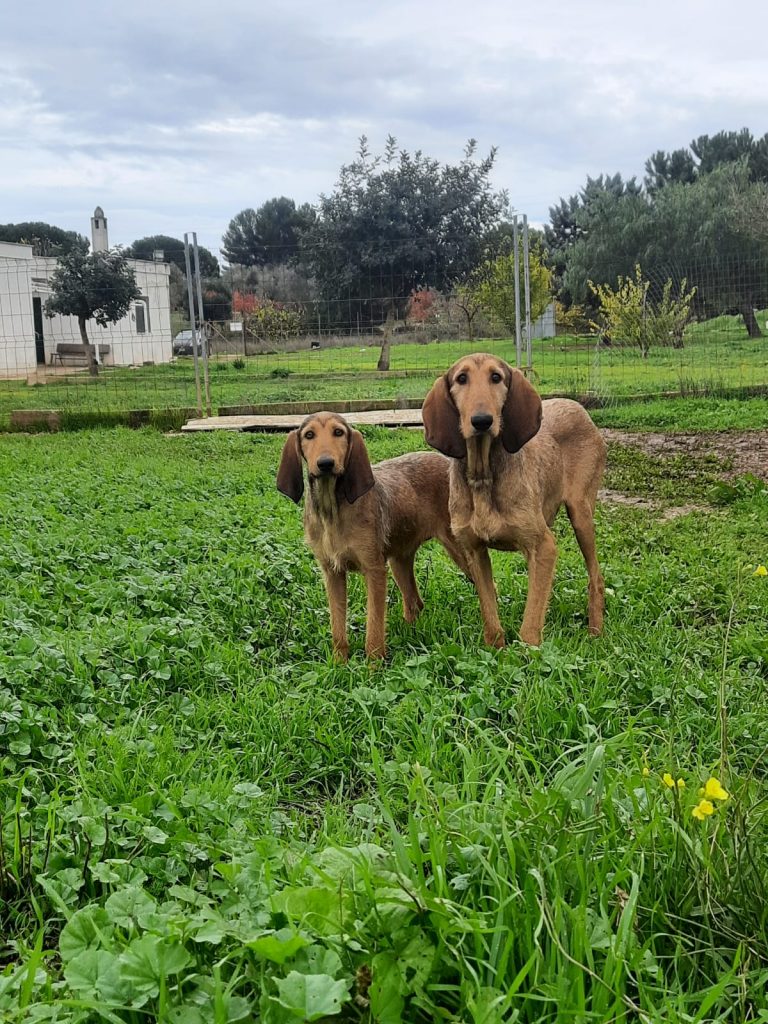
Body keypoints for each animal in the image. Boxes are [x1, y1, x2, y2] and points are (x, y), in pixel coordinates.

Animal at [274, 411, 468, 659]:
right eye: (309, 435)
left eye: (338, 432)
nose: (326, 464)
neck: (332, 509)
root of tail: (446, 462)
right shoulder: (332, 572)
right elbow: (337, 627)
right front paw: (339, 662)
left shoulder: (374, 570)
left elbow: (374, 627)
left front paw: (373, 664)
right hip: (399, 561)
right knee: (414, 602)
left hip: (460, 551)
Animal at [421, 356, 606, 643]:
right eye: (461, 379)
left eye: (496, 377)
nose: (482, 421)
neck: (483, 475)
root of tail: (576, 405)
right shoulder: (474, 552)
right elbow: (490, 614)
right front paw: (496, 647)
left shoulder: (544, 548)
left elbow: (529, 625)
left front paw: (527, 650)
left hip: (581, 514)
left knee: (596, 577)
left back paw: (596, 631)